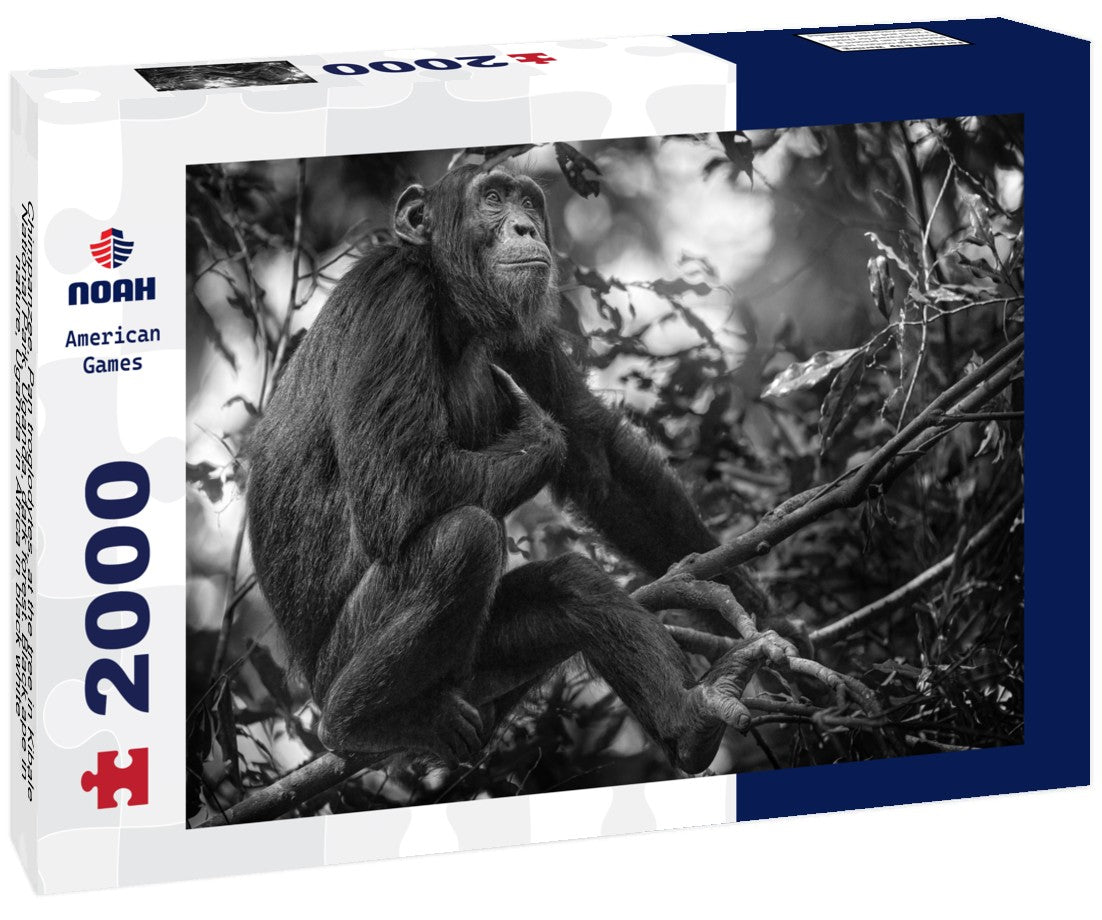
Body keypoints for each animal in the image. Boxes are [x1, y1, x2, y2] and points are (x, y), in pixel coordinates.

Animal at [246, 163, 793, 774]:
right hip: (344, 661)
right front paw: (539, 433)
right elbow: (397, 486)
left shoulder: (521, 335)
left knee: (570, 588)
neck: (449, 305)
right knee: (465, 537)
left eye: (527, 201)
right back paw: (363, 719)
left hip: (478, 671)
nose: (525, 227)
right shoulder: (389, 296)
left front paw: (746, 597)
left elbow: (596, 453)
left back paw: (692, 715)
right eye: (491, 197)